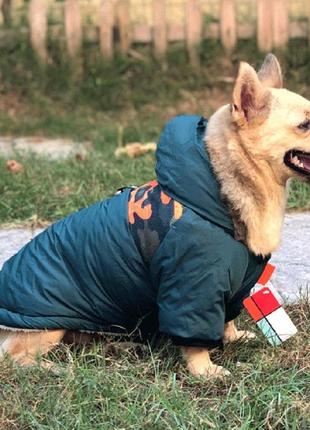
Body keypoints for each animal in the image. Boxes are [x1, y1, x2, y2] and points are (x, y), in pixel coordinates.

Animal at [0, 53, 310, 376]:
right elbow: (195, 339)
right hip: (47, 327)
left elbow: (226, 319)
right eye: (304, 125)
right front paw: (205, 371)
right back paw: (57, 368)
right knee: (14, 356)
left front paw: (233, 337)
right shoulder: (193, 285)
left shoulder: (230, 286)